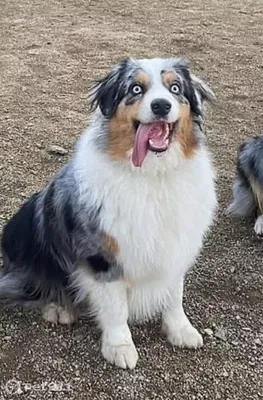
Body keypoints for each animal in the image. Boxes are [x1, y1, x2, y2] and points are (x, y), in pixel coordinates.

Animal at [0, 56, 218, 368]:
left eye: (175, 88)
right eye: (136, 89)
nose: (161, 106)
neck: (152, 175)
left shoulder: (176, 244)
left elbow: (175, 293)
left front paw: (181, 330)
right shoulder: (102, 255)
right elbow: (116, 308)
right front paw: (119, 347)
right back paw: (58, 308)